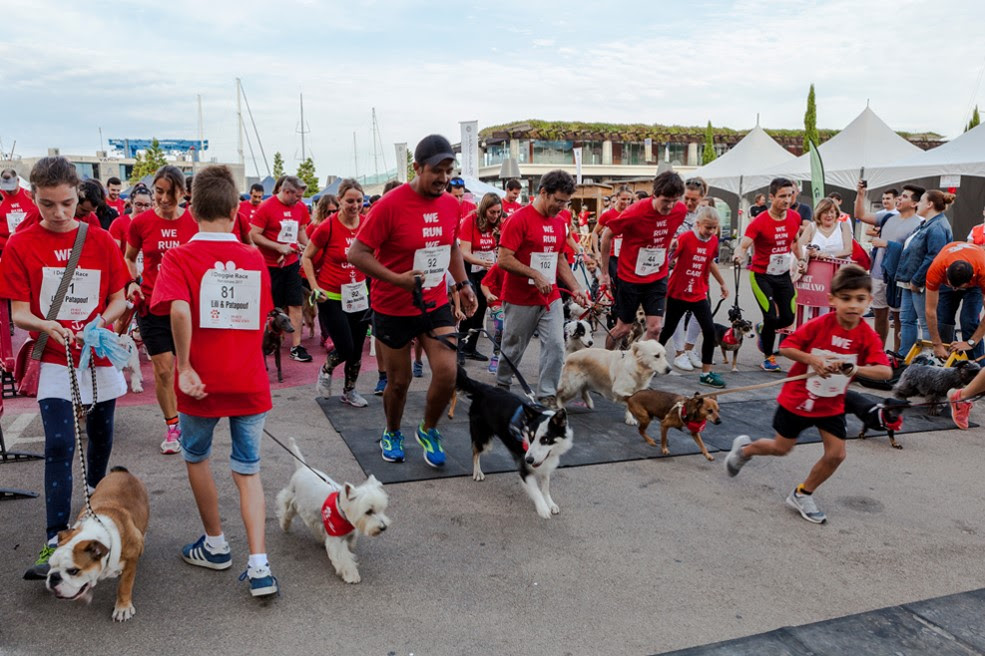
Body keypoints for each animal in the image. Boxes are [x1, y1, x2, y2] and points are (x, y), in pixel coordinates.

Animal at [46, 466, 150, 620]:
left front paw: (123, 607)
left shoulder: (131, 558)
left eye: (73, 571)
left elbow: (125, 585)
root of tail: (122, 472)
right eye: (50, 565)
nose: (53, 577)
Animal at [274, 436, 390, 584]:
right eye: (369, 511)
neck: (341, 510)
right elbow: (343, 557)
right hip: (293, 497)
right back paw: (285, 524)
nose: (383, 527)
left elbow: (351, 541)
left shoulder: (348, 529)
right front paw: (352, 575)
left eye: (382, 509)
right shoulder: (336, 538)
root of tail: (302, 468)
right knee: (285, 507)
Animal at [458, 366, 572, 520]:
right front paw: (542, 507)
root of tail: (484, 388)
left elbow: (545, 485)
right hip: (483, 437)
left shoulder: (544, 461)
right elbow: (535, 490)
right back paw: (478, 472)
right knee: (475, 451)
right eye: (530, 437)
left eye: (545, 440)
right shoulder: (523, 466)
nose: (529, 460)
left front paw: (549, 502)